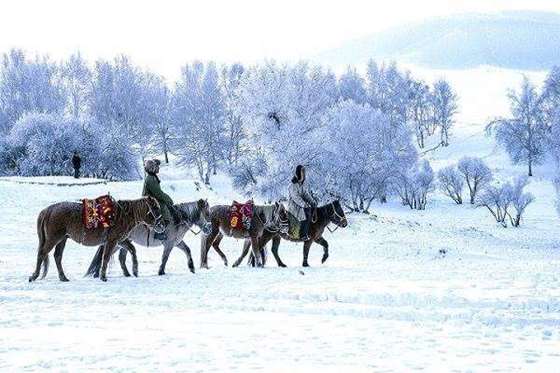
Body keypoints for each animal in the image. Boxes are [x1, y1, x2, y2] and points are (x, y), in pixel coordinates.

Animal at [28, 196, 164, 280]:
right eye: (155, 208)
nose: (162, 225)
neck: (122, 216)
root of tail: (48, 210)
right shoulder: (112, 241)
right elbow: (106, 257)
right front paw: (103, 276)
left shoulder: (120, 241)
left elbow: (132, 250)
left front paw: (135, 270)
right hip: (54, 239)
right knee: (42, 253)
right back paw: (34, 276)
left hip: (62, 239)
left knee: (57, 256)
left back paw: (63, 277)